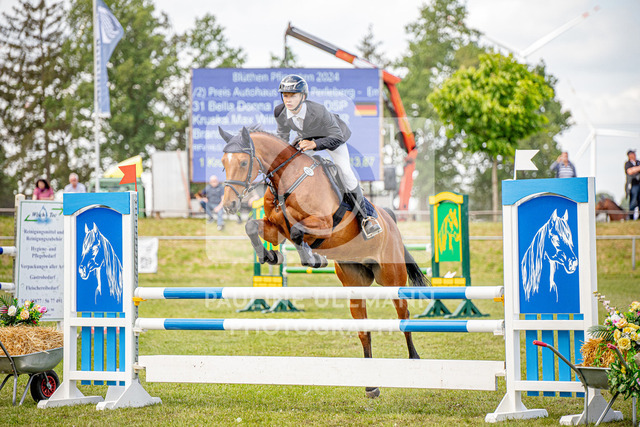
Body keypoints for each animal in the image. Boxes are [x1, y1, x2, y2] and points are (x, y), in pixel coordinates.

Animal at [219, 127, 428, 398]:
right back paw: (371, 386)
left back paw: (414, 359)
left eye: (244, 162)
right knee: (364, 330)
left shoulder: (323, 224)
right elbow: (252, 226)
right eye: (223, 163)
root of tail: (390, 219)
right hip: (355, 285)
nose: (230, 205)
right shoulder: (275, 228)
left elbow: (297, 231)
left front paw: (312, 258)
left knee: (404, 315)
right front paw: (270, 256)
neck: (288, 180)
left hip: (392, 279)